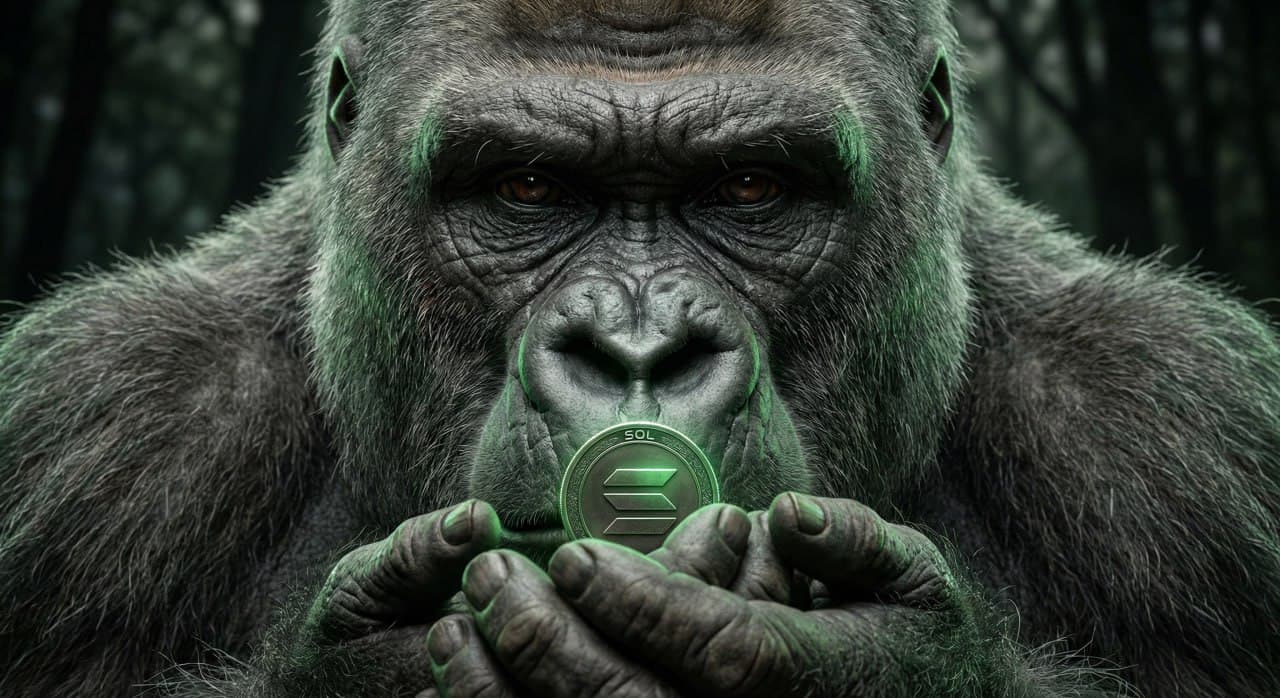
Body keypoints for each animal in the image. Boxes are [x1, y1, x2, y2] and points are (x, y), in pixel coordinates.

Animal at [2, 0, 1278, 696]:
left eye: (750, 185)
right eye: (526, 185)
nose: (636, 348)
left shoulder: (1182, 434)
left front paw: (889, 662)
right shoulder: (96, 433)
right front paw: (364, 668)